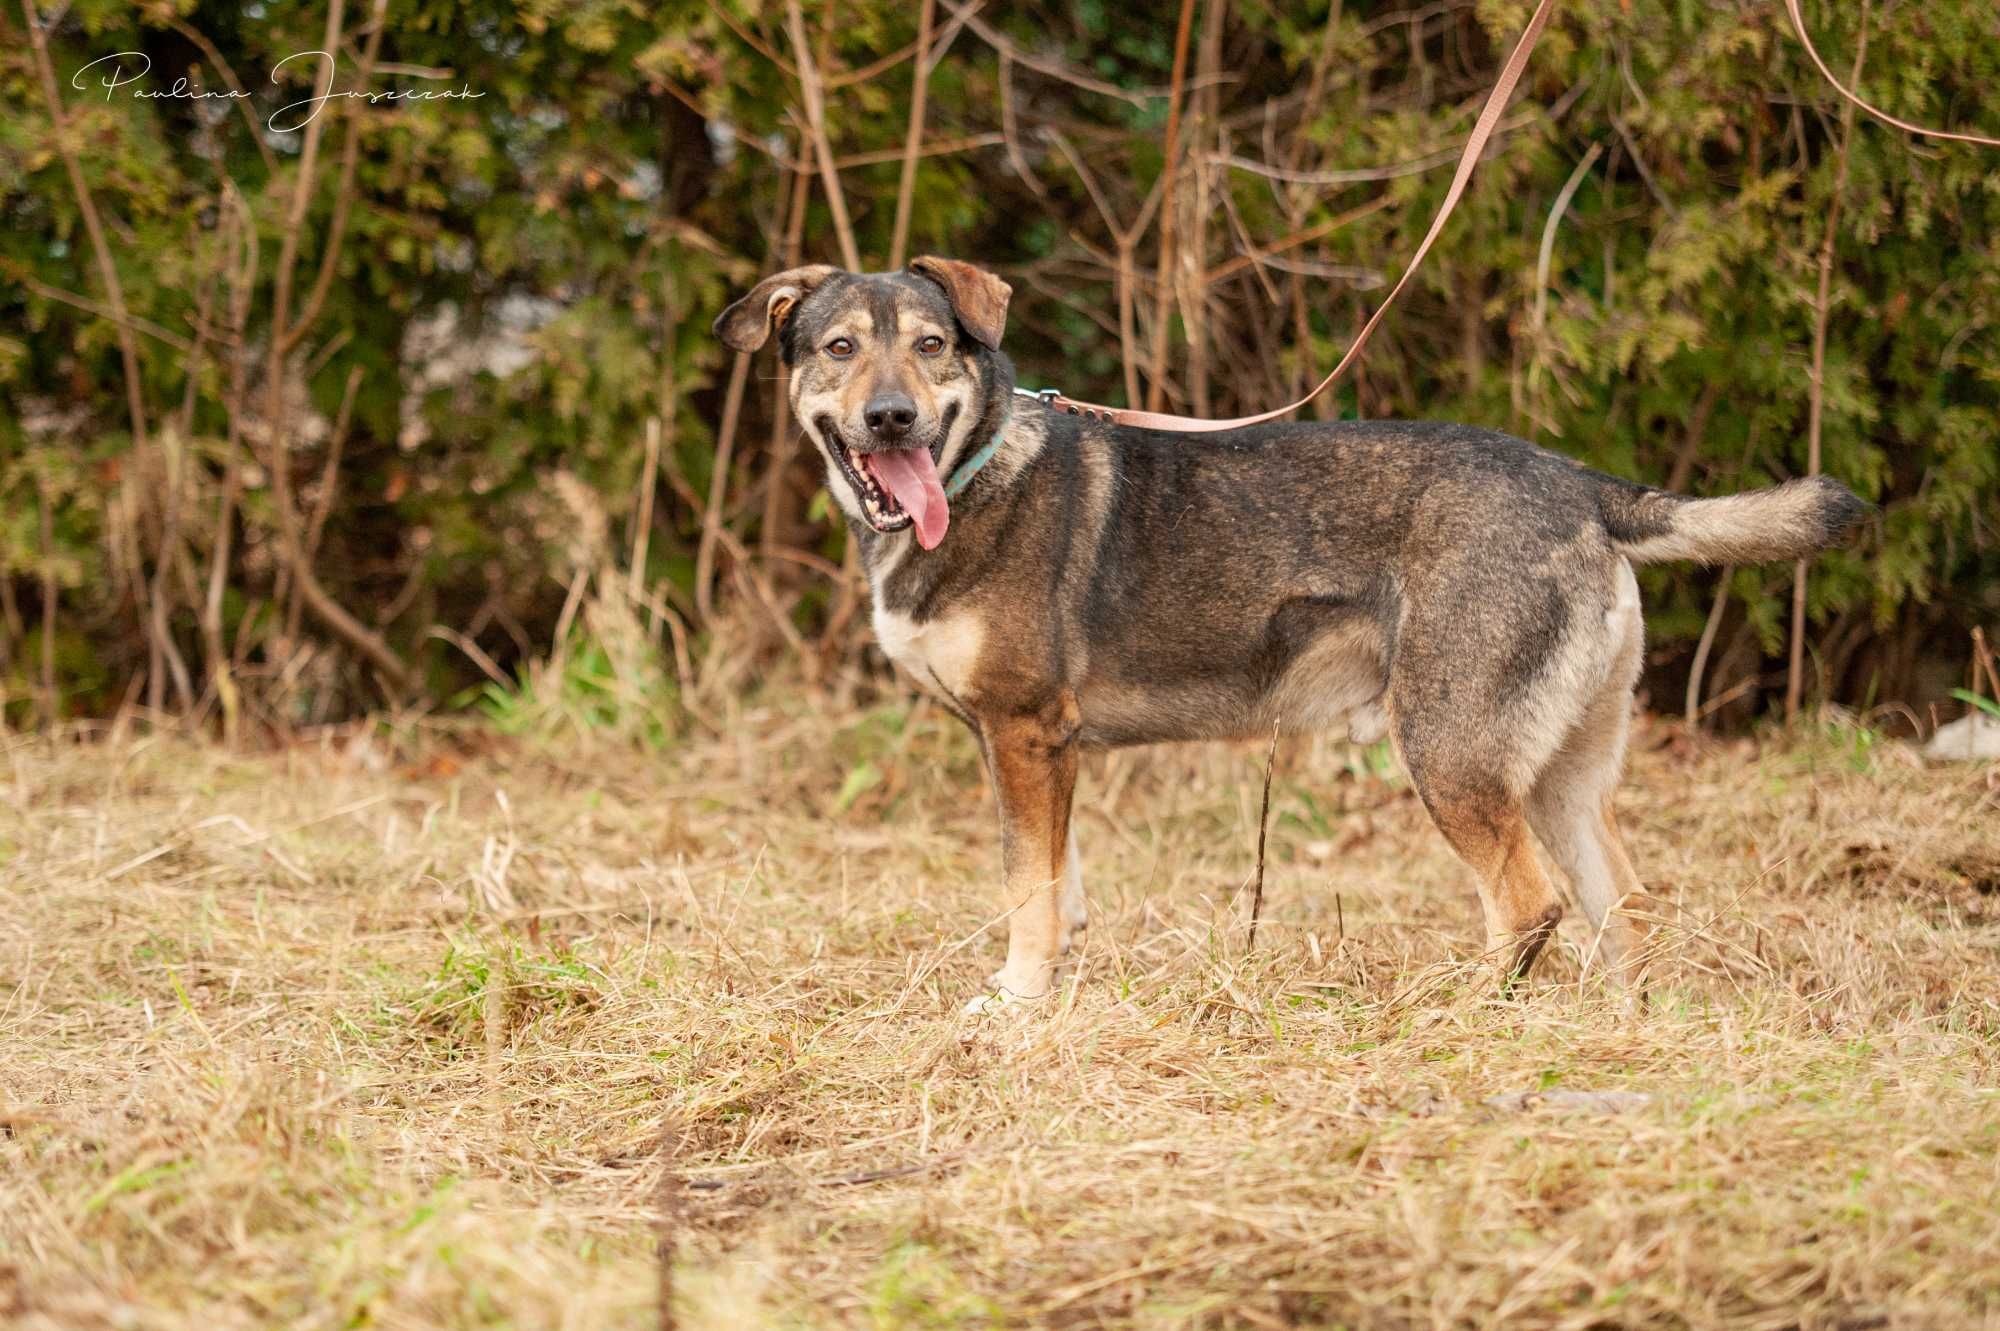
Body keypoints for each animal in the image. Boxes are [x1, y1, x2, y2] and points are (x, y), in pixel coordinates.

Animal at [720, 255, 1872, 1007]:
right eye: (837, 349)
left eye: (929, 348)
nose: (892, 420)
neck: (970, 472)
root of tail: (1586, 488)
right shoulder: (1034, 745)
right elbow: (1057, 883)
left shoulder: (1024, 732)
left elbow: (1026, 889)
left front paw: (1016, 1007)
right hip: (1556, 774)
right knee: (1621, 905)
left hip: (1450, 752)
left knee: (1527, 903)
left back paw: (1462, 1014)